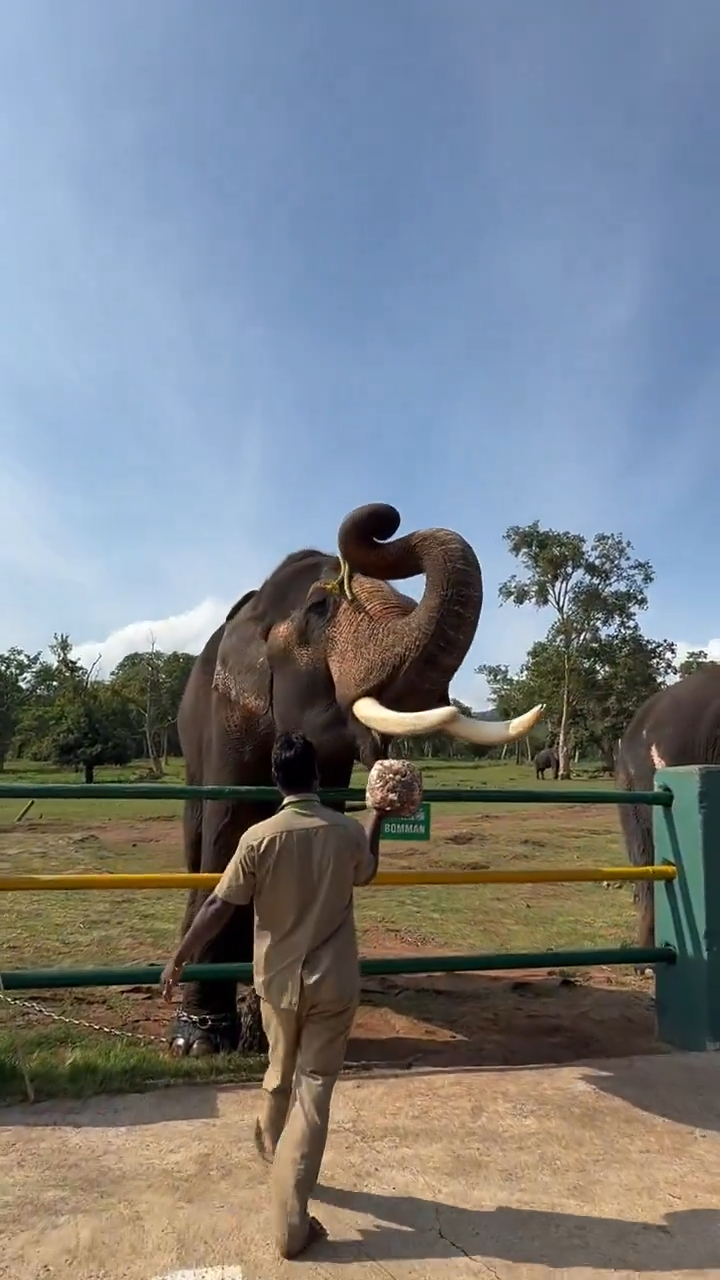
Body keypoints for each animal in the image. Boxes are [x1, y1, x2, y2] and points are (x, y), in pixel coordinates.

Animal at [170, 502, 544, 1057]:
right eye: (320, 608)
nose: (384, 518)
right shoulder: (229, 713)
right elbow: (229, 829)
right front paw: (199, 1040)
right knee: (199, 837)